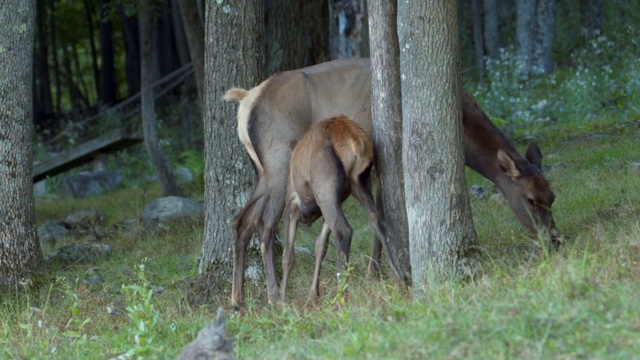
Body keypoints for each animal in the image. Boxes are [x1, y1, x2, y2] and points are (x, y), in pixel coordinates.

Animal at [282, 114, 402, 300]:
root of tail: (355, 140)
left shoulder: (292, 206)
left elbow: (288, 255)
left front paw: (280, 300)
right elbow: (320, 245)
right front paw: (312, 295)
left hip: (325, 185)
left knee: (343, 230)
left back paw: (342, 295)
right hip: (359, 182)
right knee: (377, 221)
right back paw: (399, 280)